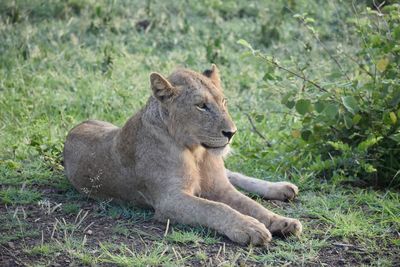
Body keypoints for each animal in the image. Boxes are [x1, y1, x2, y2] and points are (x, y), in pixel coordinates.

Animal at [63, 65, 300, 247]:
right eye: (201, 106)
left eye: (223, 102)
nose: (231, 133)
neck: (196, 151)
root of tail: (79, 125)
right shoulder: (170, 200)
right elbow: (215, 208)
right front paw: (250, 227)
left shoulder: (220, 187)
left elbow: (251, 205)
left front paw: (283, 222)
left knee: (234, 174)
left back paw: (283, 188)